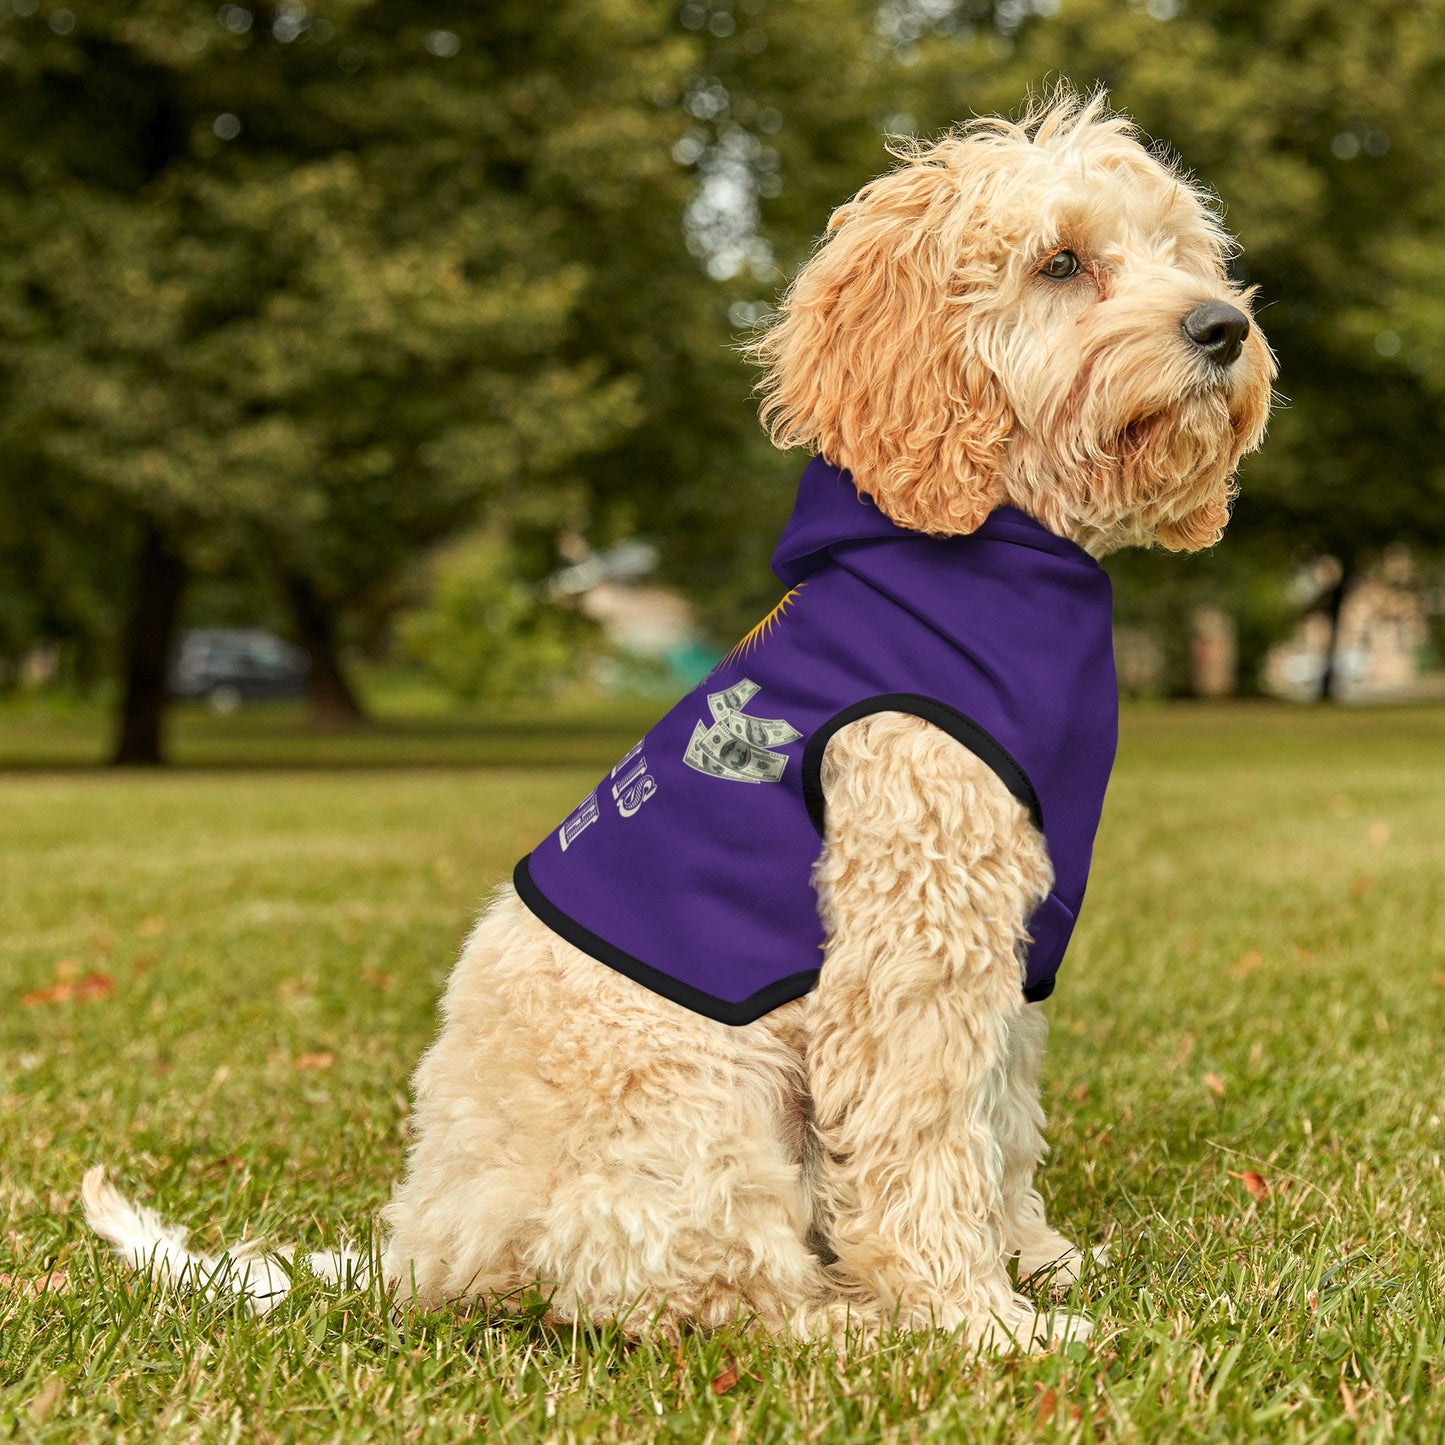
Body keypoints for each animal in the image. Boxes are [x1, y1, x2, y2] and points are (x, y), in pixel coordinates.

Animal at [84, 93, 1271, 1352]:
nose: (1222, 327)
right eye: (1059, 262)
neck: (980, 552)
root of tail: (423, 1247)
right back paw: (852, 1322)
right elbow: (924, 1138)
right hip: (703, 1099)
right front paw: (976, 1318)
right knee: (701, 1291)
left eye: (1180, 252)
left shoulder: (1008, 939)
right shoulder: (912, 936)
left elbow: (998, 1119)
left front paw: (1034, 1259)